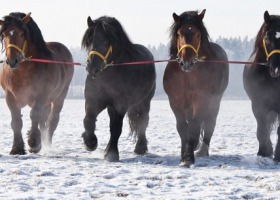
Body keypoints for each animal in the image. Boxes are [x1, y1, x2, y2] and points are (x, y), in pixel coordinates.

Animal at [0, 12, 74, 155]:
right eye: (4, 34)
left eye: (22, 34)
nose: (12, 61)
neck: (22, 71)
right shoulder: (9, 95)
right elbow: (16, 121)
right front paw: (17, 148)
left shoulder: (42, 95)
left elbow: (34, 115)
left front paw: (34, 143)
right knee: (43, 120)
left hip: (59, 96)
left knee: (52, 120)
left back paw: (46, 143)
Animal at [81, 16, 156, 162]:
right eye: (88, 41)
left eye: (105, 41)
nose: (91, 68)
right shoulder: (94, 100)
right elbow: (88, 120)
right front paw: (90, 143)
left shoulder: (121, 104)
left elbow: (116, 128)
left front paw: (112, 154)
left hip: (144, 102)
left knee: (143, 122)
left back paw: (140, 148)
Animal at [163, 9, 229, 166]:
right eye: (178, 34)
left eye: (198, 35)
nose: (186, 62)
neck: (187, 76)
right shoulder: (175, 101)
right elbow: (182, 127)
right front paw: (183, 155)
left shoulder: (201, 100)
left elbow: (194, 127)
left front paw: (188, 157)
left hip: (215, 101)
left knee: (210, 123)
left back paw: (202, 150)